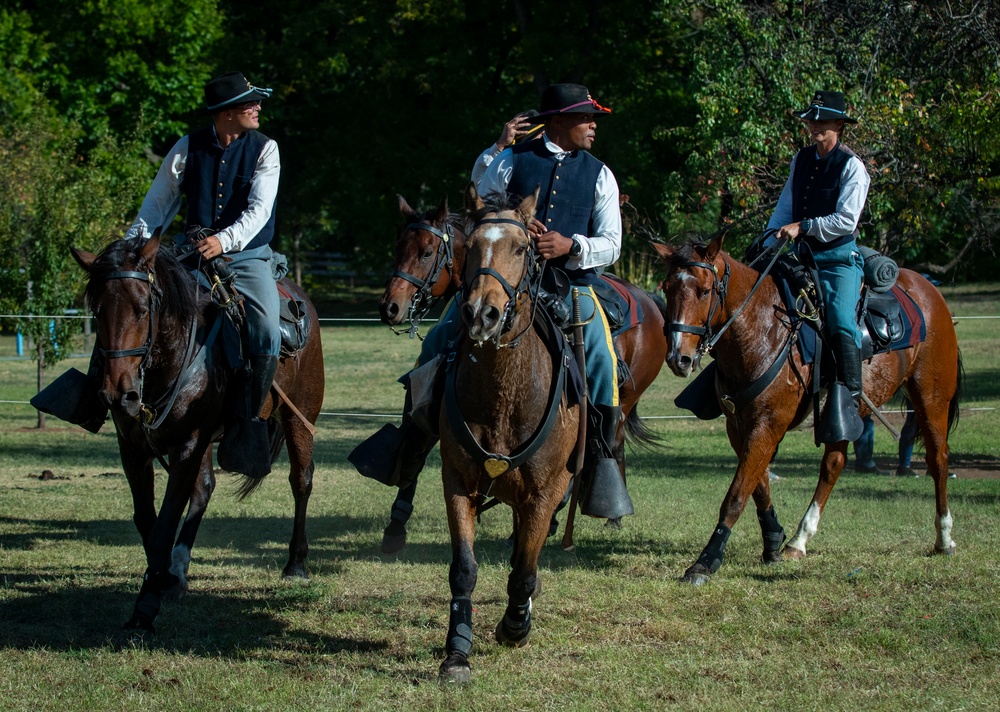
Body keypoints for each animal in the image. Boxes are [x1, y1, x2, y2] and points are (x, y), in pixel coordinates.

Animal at [72, 236, 322, 632]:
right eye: (96, 311)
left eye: (142, 309)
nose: (117, 394)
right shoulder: (134, 450)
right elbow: (148, 521)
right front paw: (163, 580)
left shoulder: (187, 445)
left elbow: (163, 527)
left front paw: (144, 609)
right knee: (204, 489)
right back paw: (178, 569)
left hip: (299, 417)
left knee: (301, 481)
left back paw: (295, 563)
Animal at [652, 236, 964, 588]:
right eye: (667, 288)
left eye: (705, 291)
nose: (679, 358)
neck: (761, 329)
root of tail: (929, 292)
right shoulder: (739, 425)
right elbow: (758, 484)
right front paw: (773, 540)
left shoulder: (768, 424)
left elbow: (737, 494)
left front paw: (705, 561)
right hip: (844, 414)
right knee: (833, 464)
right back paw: (799, 540)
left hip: (931, 398)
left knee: (938, 459)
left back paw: (944, 538)